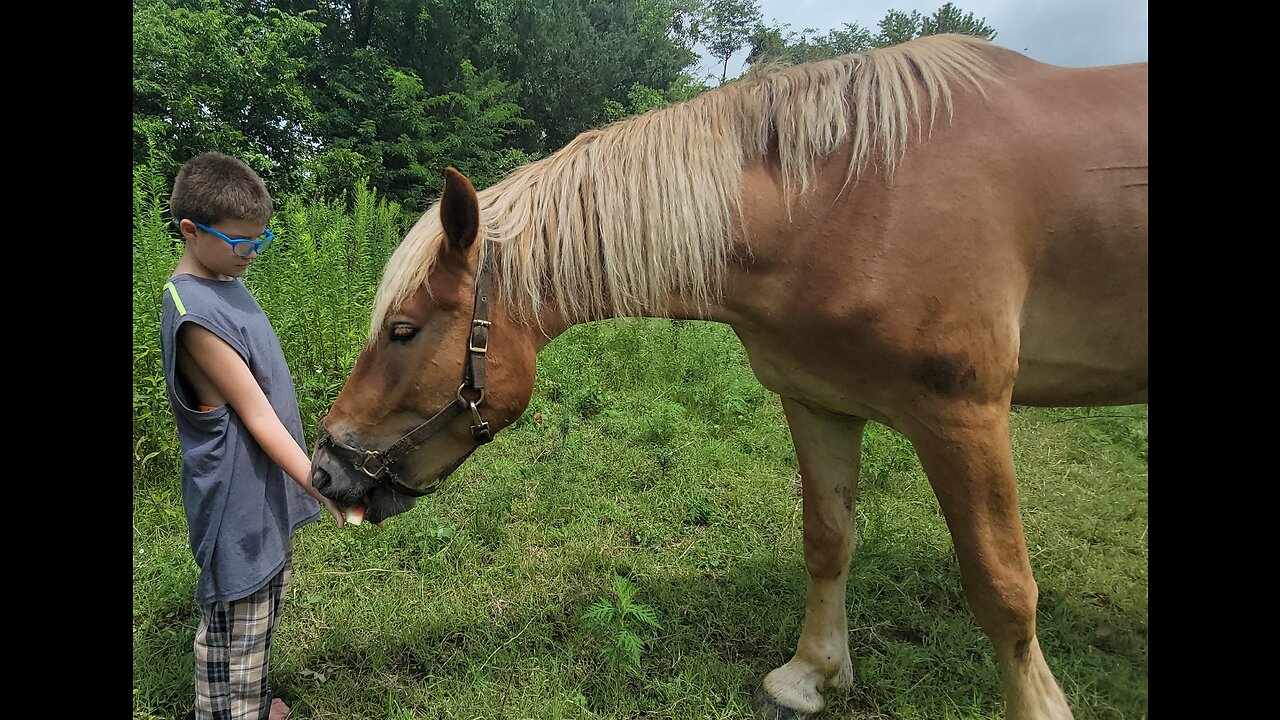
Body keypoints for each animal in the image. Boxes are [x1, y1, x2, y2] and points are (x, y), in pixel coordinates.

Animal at [309, 33, 1152, 717]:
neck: (850, 199)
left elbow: (1002, 584)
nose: (324, 470)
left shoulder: (964, 416)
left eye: (403, 330)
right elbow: (827, 539)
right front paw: (808, 677)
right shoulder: (818, 401)